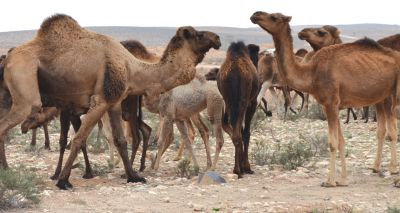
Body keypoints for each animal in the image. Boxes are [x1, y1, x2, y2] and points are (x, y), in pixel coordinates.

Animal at [0, 13, 222, 190]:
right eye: (199, 34)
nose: (218, 38)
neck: (132, 67)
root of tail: (8, 59)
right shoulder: (100, 100)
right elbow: (78, 139)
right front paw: (63, 180)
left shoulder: (114, 102)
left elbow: (121, 140)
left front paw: (134, 176)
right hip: (25, 85)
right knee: (11, 121)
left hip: (8, 95)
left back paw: (6, 170)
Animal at [219, 40, 260, 177]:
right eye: (256, 58)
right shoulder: (252, 102)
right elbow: (246, 132)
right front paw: (247, 167)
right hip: (242, 102)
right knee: (238, 132)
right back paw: (239, 169)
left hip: (229, 102)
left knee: (229, 126)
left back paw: (237, 168)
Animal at [252, 11, 400, 186]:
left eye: (274, 17)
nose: (255, 15)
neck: (311, 73)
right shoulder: (332, 105)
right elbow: (341, 141)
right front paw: (342, 180)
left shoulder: (330, 103)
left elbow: (332, 143)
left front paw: (329, 181)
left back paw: (395, 177)